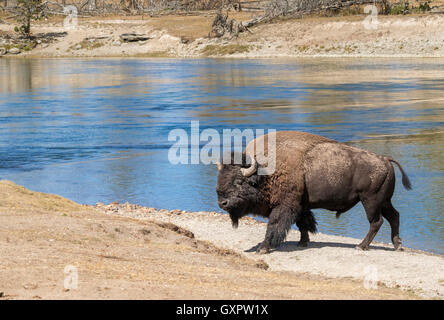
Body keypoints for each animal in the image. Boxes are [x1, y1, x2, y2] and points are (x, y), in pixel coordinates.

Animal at [217, 131, 412, 254]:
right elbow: (303, 223)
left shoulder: (284, 205)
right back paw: (398, 245)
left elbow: (275, 225)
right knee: (394, 217)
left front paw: (263, 248)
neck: (265, 173)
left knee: (376, 222)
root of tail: (385, 159)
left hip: (370, 201)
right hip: (384, 201)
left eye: (238, 182)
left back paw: (361, 246)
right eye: (220, 178)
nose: (222, 203)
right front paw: (302, 242)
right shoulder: (301, 205)